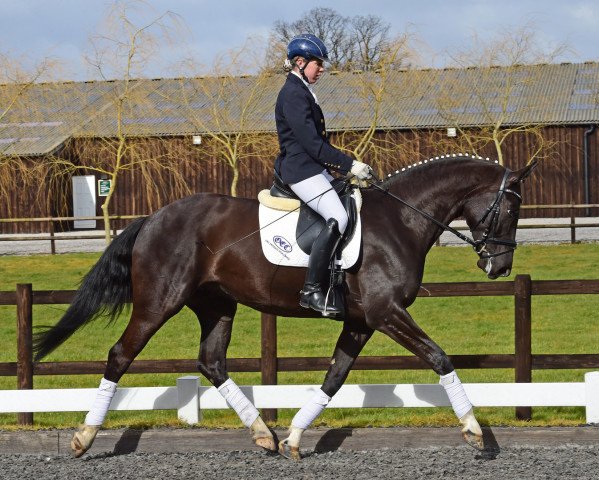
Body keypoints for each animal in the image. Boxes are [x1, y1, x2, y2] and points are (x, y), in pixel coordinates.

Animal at [32, 156, 540, 460]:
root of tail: (155, 217)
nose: (499, 265)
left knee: (211, 362)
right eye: (511, 209)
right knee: (120, 355)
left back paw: (264, 434)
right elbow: (439, 357)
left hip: (216, 305)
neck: (401, 219)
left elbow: (334, 378)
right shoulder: (385, 313)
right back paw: (84, 438)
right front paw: (475, 432)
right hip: (159, 302)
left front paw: (295, 437)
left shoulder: (361, 322)